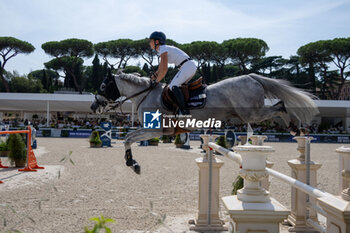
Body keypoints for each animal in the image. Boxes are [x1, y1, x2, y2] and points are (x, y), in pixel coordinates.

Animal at [91, 72, 320, 174]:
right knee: (280, 105)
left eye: (103, 86)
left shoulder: (154, 130)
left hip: (252, 114)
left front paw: (132, 163)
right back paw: (296, 128)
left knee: (280, 106)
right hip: (251, 114)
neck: (145, 95)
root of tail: (251, 77)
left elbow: (128, 138)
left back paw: (295, 128)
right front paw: (132, 162)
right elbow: (129, 138)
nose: (94, 107)